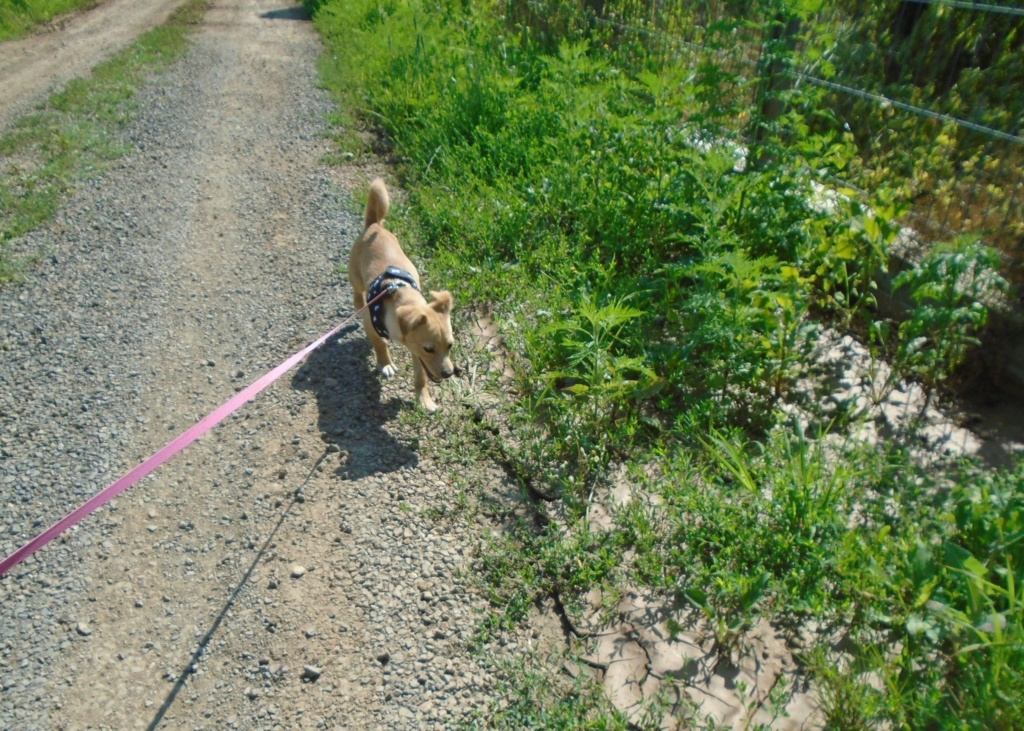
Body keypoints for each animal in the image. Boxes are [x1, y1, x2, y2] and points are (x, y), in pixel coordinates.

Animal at [348, 178, 452, 409]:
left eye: (450, 345)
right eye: (429, 348)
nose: (449, 373)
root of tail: (375, 225)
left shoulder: (415, 351)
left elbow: (421, 376)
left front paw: (424, 400)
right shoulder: (371, 326)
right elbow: (379, 344)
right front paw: (385, 364)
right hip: (355, 275)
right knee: (356, 292)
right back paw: (358, 304)